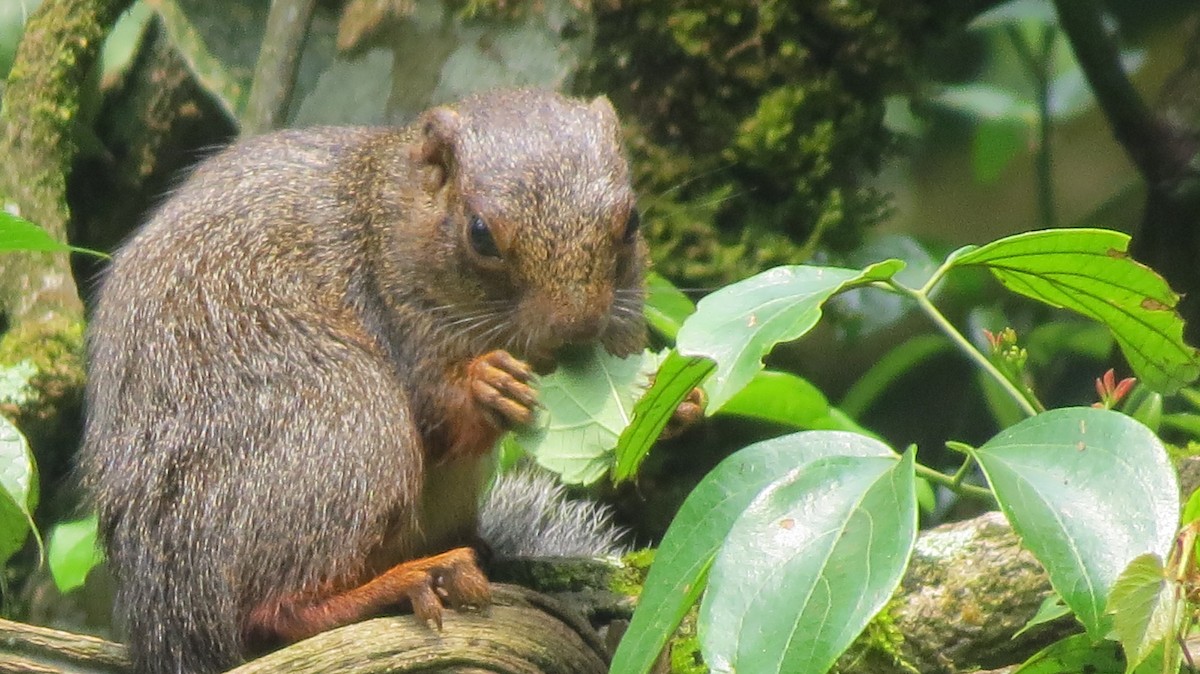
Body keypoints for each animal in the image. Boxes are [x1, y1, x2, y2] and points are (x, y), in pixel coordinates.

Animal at [77, 88, 646, 674]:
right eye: (480, 234)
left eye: (632, 221)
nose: (577, 323)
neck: (382, 217)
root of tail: (171, 626)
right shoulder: (397, 320)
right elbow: (438, 417)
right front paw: (487, 386)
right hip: (353, 426)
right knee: (270, 611)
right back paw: (414, 580)